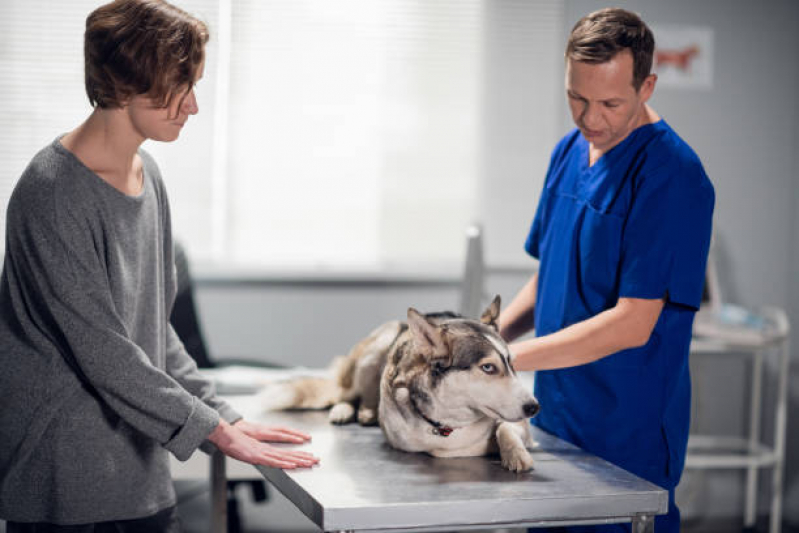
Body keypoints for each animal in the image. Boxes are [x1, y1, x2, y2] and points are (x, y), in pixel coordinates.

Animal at [266, 298, 540, 472]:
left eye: (512, 364)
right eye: (488, 368)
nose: (534, 407)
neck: (450, 420)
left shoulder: (519, 426)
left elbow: (506, 429)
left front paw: (515, 454)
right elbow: (440, 450)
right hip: (376, 348)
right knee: (347, 393)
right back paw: (352, 410)